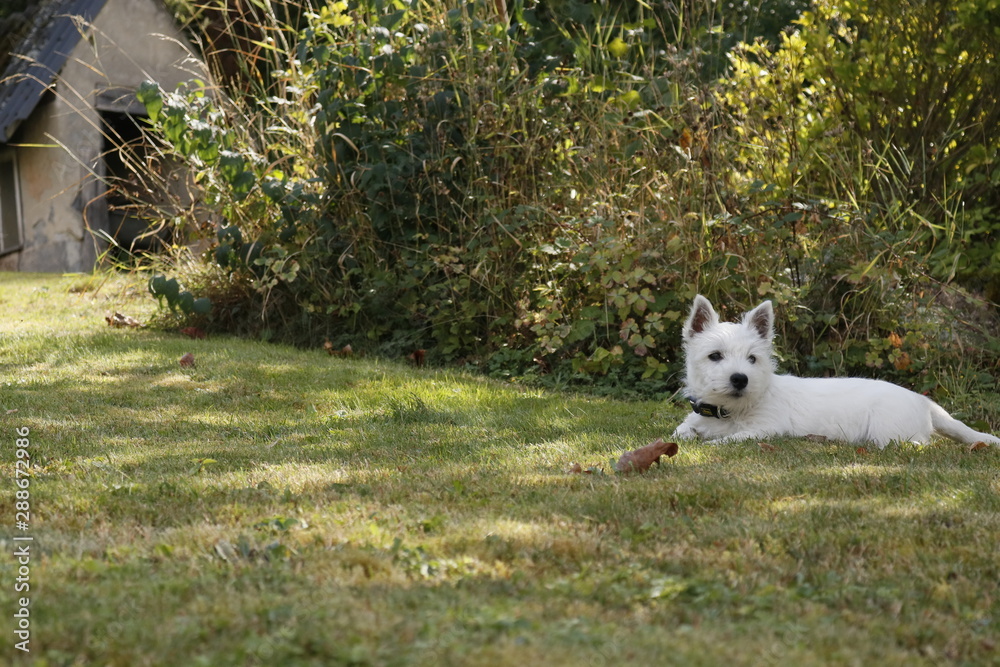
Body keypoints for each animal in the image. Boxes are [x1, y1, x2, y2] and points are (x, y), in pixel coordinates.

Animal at [672, 296, 1000, 448]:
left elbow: (731, 438)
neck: (729, 410)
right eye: (715, 356)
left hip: (890, 431)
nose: (740, 379)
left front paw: (713, 442)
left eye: (752, 359)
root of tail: (924, 401)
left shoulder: (766, 428)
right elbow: (681, 430)